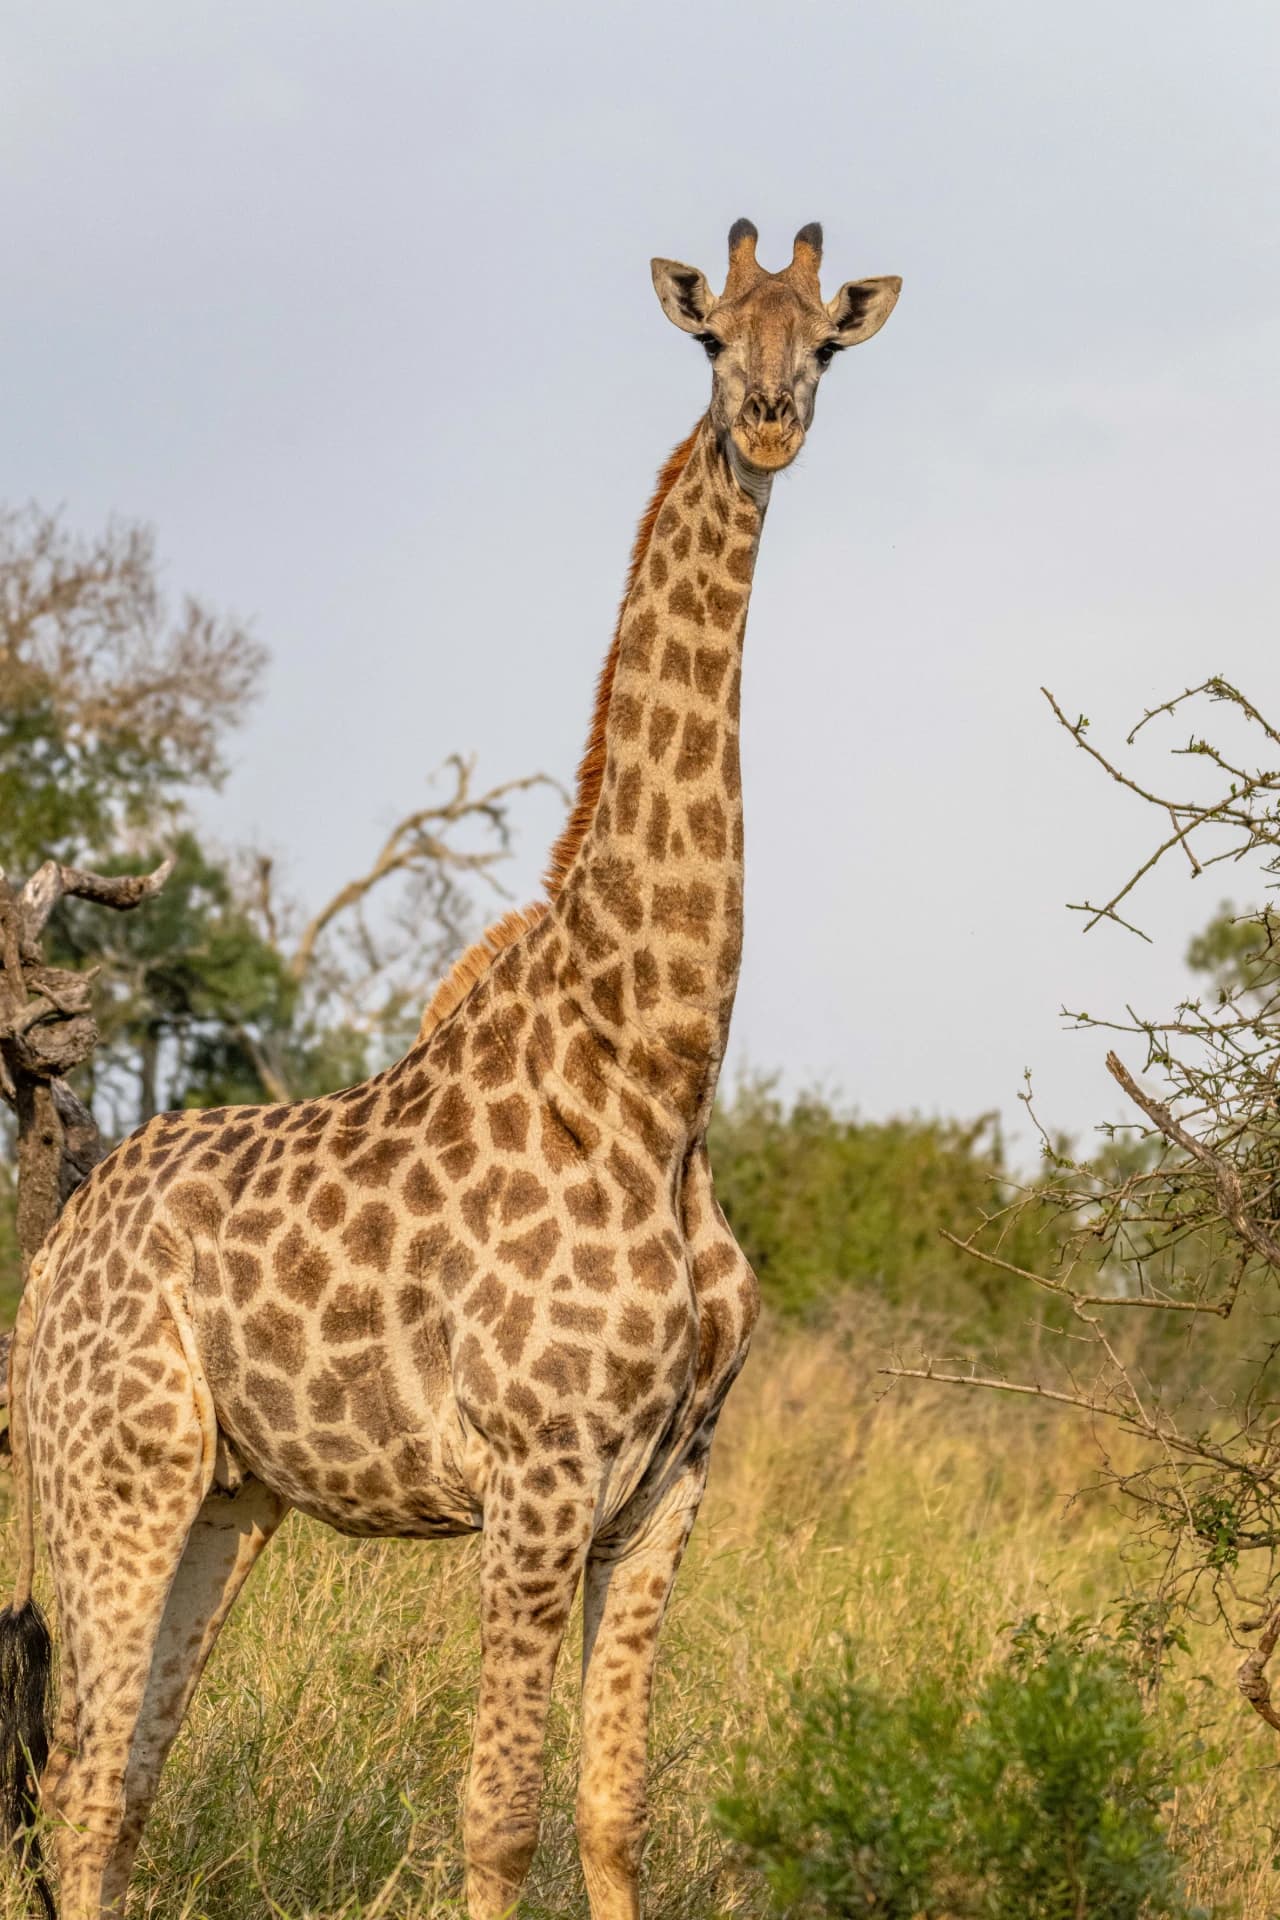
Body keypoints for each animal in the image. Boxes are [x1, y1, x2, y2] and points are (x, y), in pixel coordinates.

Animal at [0, 219, 900, 1920]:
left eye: (824, 339)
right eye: (711, 339)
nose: (765, 424)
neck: (659, 1080)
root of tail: (65, 1229)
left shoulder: (671, 1488)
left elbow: (611, 1814)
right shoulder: (537, 1476)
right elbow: (499, 1822)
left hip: (226, 1501)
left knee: (123, 1790)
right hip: (109, 1470)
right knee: (76, 1782)